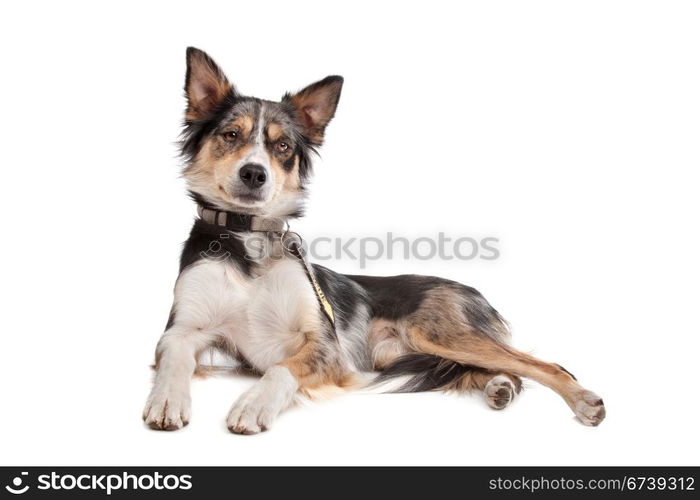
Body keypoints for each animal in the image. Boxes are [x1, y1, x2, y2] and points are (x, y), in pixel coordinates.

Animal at [141, 47, 600, 434]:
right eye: (231, 135)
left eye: (283, 146)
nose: (255, 173)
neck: (247, 237)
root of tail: (473, 291)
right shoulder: (184, 327)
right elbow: (174, 355)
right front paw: (167, 399)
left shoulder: (325, 343)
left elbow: (280, 369)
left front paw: (253, 404)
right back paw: (498, 386)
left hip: (441, 334)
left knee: (546, 365)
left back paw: (583, 400)